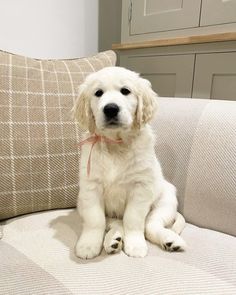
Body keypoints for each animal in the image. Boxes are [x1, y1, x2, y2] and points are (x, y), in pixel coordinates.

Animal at [74, 66, 186, 260]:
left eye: (125, 91)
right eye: (98, 93)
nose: (111, 109)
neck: (116, 144)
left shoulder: (140, 187)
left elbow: (133, 220)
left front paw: (135, 245)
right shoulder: (90, 187)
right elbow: (95, 220)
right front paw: (88, 245)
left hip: (166, 200)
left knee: (150, 225)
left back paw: (170, 240)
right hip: (83, 203)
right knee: (114, 223)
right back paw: (114, 240)